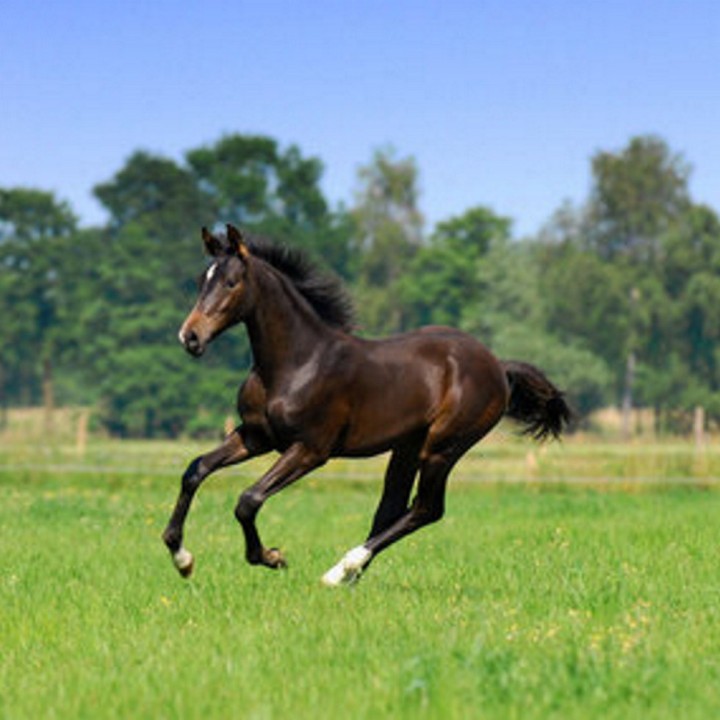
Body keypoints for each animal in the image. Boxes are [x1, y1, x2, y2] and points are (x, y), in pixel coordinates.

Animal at [162, 224, 572, 586]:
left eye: (231, 283)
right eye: (201, 281)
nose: (190, 337)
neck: (296, 362)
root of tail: (498, 367)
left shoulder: (311, 449)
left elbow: (248, 499)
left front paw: (271, 557)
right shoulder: (255, 436)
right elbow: (195, 470)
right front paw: (182, 559)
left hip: (443, 447)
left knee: (425, 509)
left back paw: (339, 571)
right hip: (408, 446)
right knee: (391, 508)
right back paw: (348, 574)